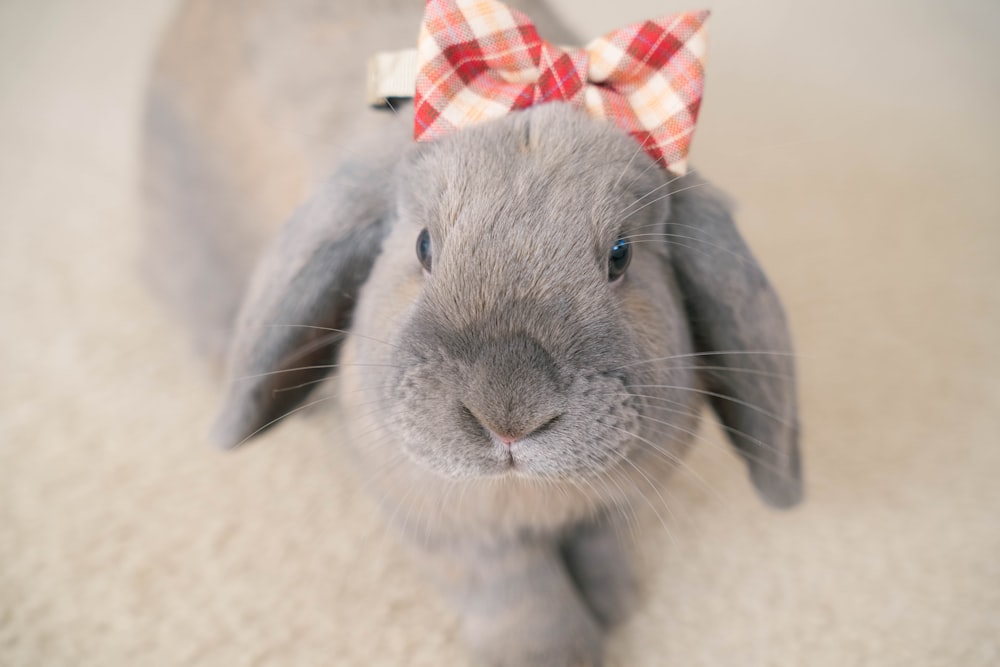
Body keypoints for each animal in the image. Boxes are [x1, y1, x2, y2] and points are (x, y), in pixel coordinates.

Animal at [143, 1, 804, 667]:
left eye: (621, 256)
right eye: (423, 246)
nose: (508, 414)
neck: (529, 497)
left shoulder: (613, 507)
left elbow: (601, 543)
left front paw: (614, 602)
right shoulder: (450, 530)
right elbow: (520, 594)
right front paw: (551, 653)